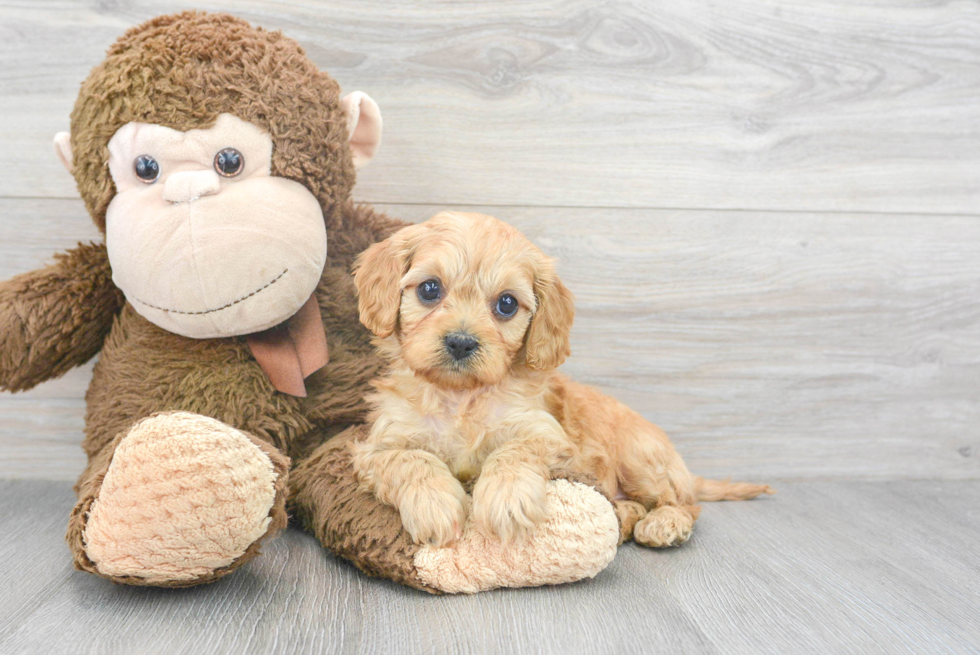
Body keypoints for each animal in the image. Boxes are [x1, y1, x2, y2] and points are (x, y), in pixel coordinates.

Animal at [352, 211, 772, 548]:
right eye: (429, 288)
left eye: (506, 304)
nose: (460, 342)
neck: (461, 399)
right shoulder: (377, 448)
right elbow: (412, 459)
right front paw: (435, 505)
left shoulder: (549, 438)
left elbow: (512, 450)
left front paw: (506, 500)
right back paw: (624, 519)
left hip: (641, 459)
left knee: (685, 503)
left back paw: (665, 523)